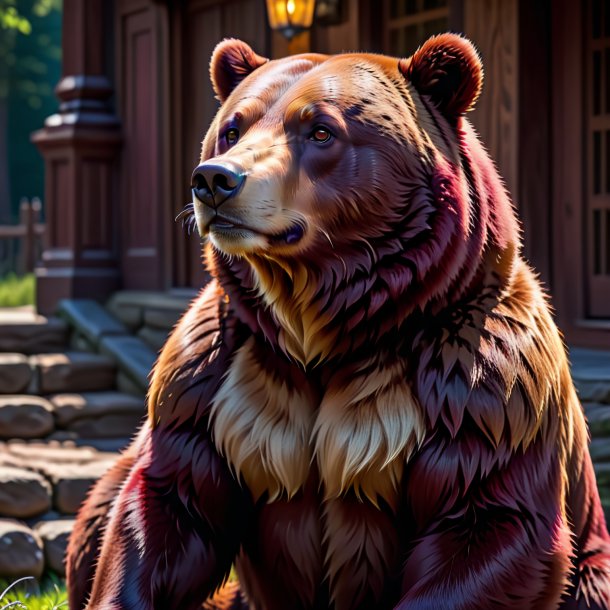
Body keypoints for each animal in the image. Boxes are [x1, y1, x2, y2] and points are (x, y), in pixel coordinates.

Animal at [66, 34, 608, 608]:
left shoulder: (476, 388)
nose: (215, 180)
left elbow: (487, 521)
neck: (324, 328)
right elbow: (168, 506)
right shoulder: (215, 378)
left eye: (320, 130)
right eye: (232, 129)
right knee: (101, 503)